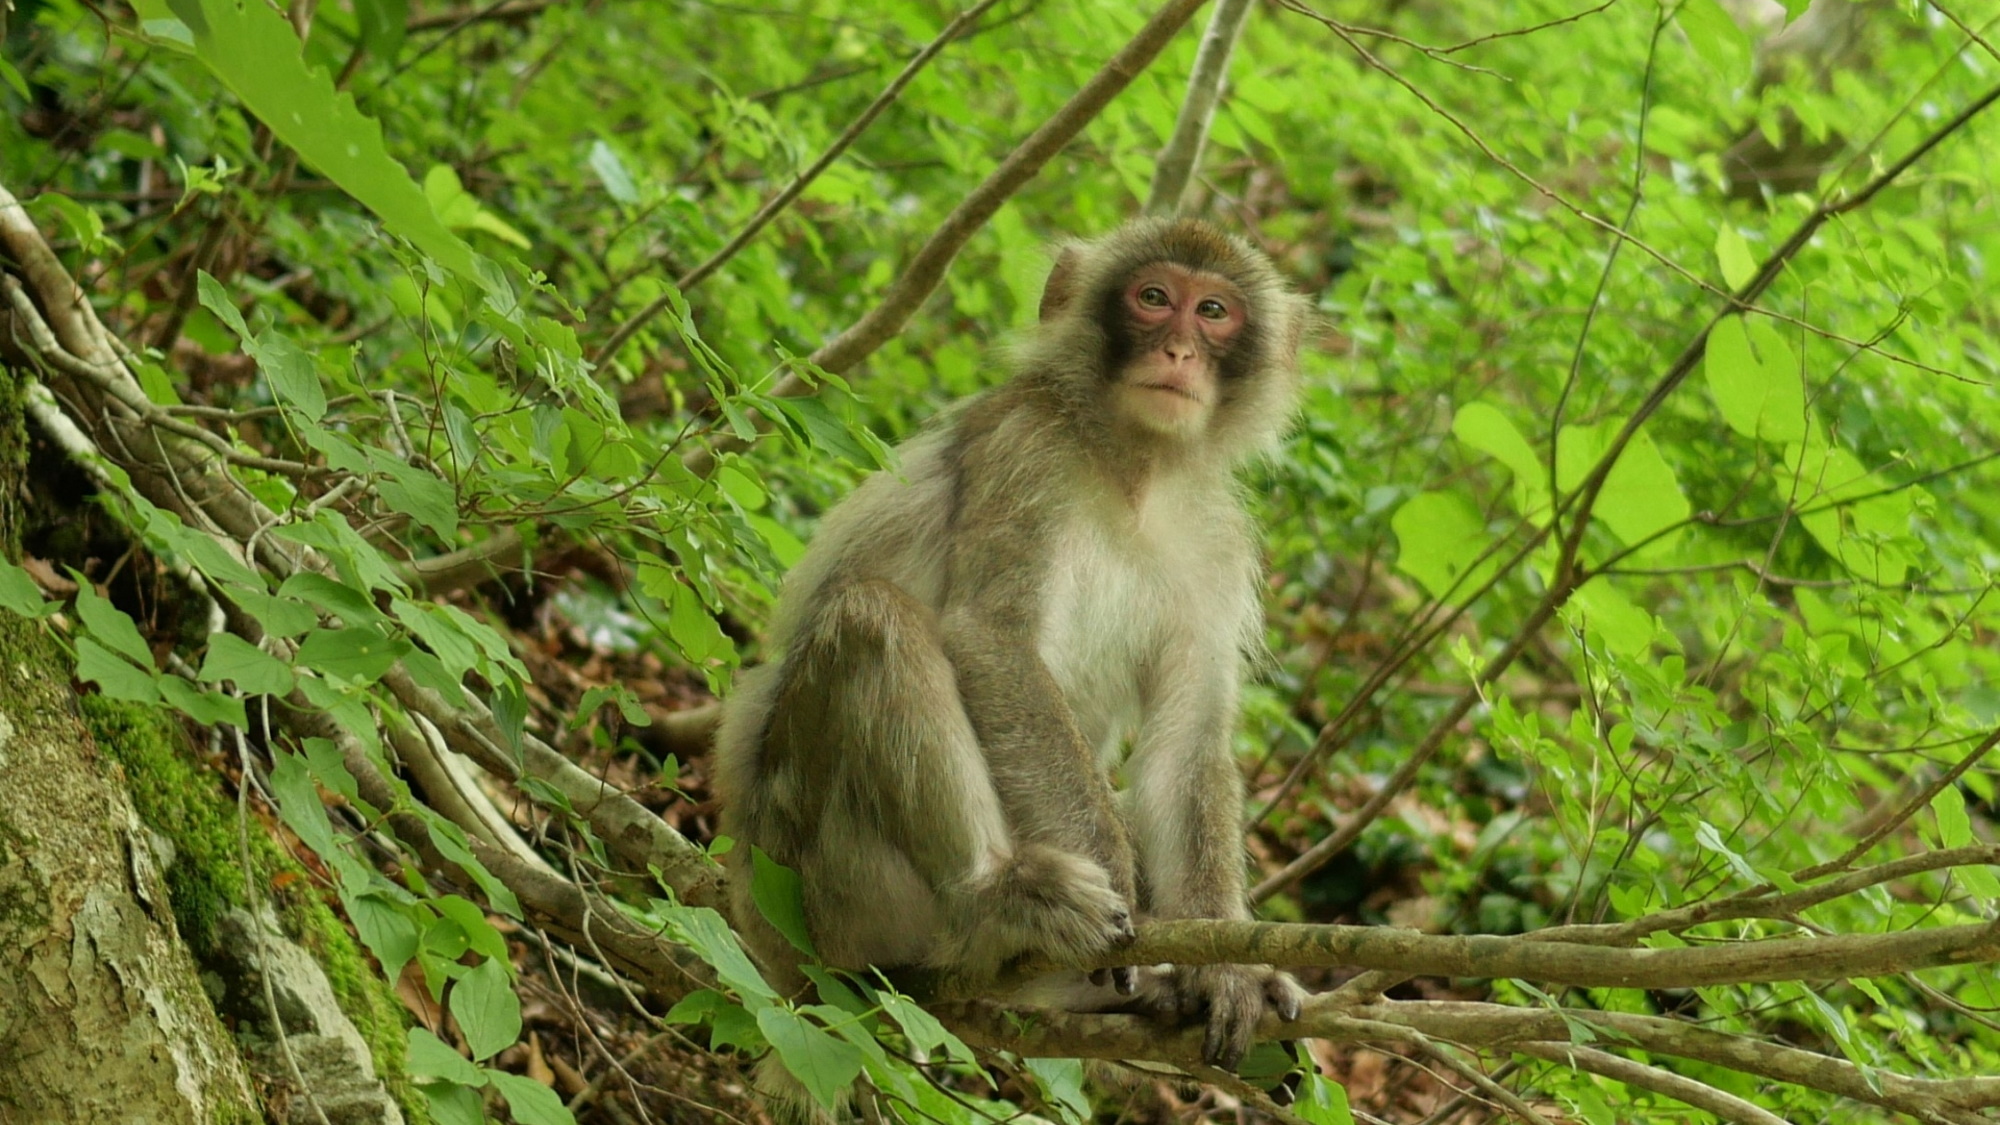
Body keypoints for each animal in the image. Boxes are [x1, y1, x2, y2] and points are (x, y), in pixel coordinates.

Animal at [716, 214, 1312, 1064]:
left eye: (1214, 312)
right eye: (1153, 297)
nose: (1178, 352)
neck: (1133, 469)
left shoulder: (1217, 543)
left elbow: (1185, 747)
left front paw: (1225, 967)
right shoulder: (1026, 450)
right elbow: (991, 637)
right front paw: (1127, 902)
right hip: (814, 878)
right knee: (870, 617)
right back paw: (996, 898)